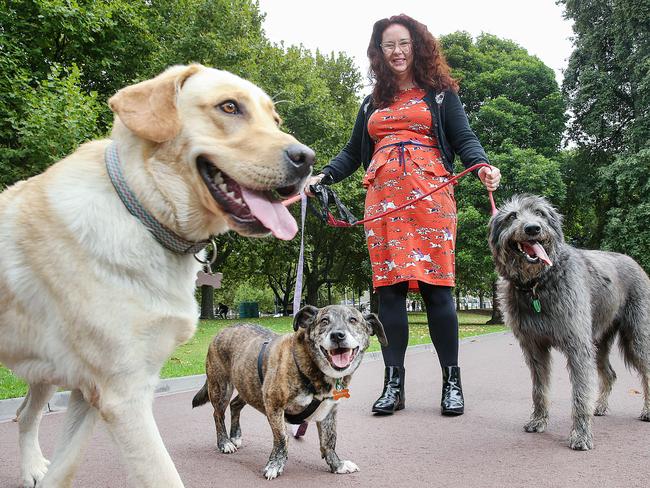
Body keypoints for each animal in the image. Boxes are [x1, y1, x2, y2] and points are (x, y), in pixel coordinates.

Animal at [192, 304, 384, 480]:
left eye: (353, 320)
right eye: (324, 321)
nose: (337, 335)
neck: (310, 366)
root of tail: (222, 330)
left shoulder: (328, 412)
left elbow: (329, 440)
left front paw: (337, 465)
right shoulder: (274, 405)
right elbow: (282, 438)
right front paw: (275, 465)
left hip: (249, 386)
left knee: (235, 404)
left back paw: (235, 436)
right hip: (221, 387)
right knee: (218, 414)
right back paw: (224, 442)